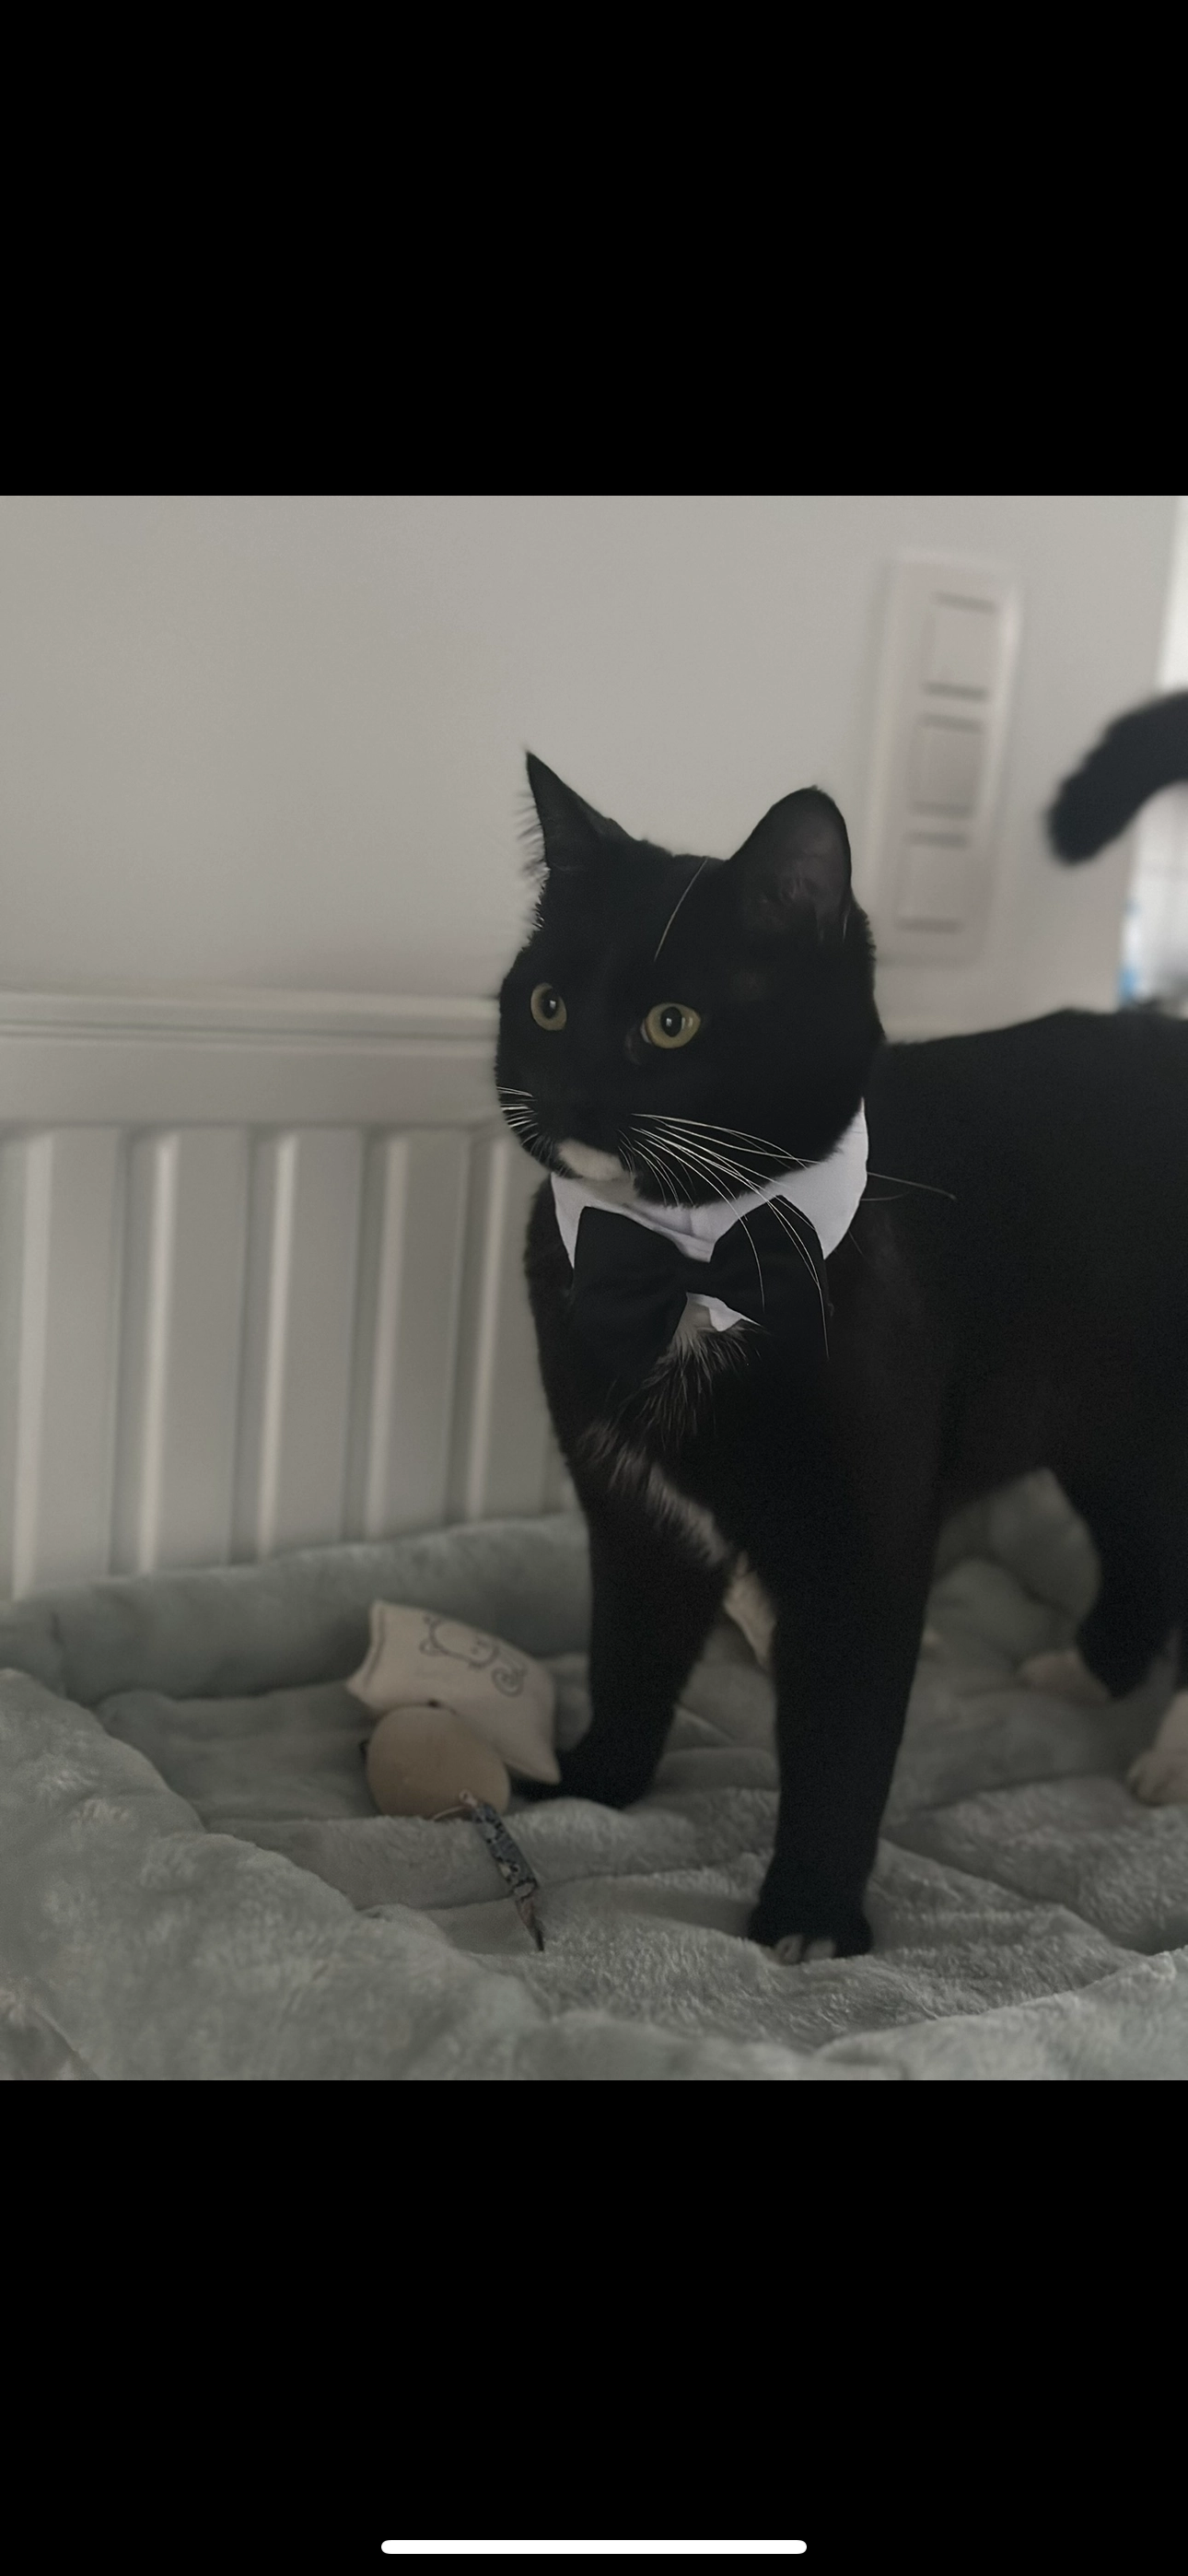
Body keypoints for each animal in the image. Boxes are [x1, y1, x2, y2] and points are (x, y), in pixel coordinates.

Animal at [494, 699, 1188, 1959]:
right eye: (548, 1004)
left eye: (673, 1023)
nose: (565, 1094)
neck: (688, 1257)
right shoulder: (633, 1504)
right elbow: (630, 1646)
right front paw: (594, 1783)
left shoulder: (863, 1547)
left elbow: (843, 1736)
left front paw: (810, 1919)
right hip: (1100, 1419)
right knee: (1146, 1539)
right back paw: (1086, 1675)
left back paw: (1169, 1758)